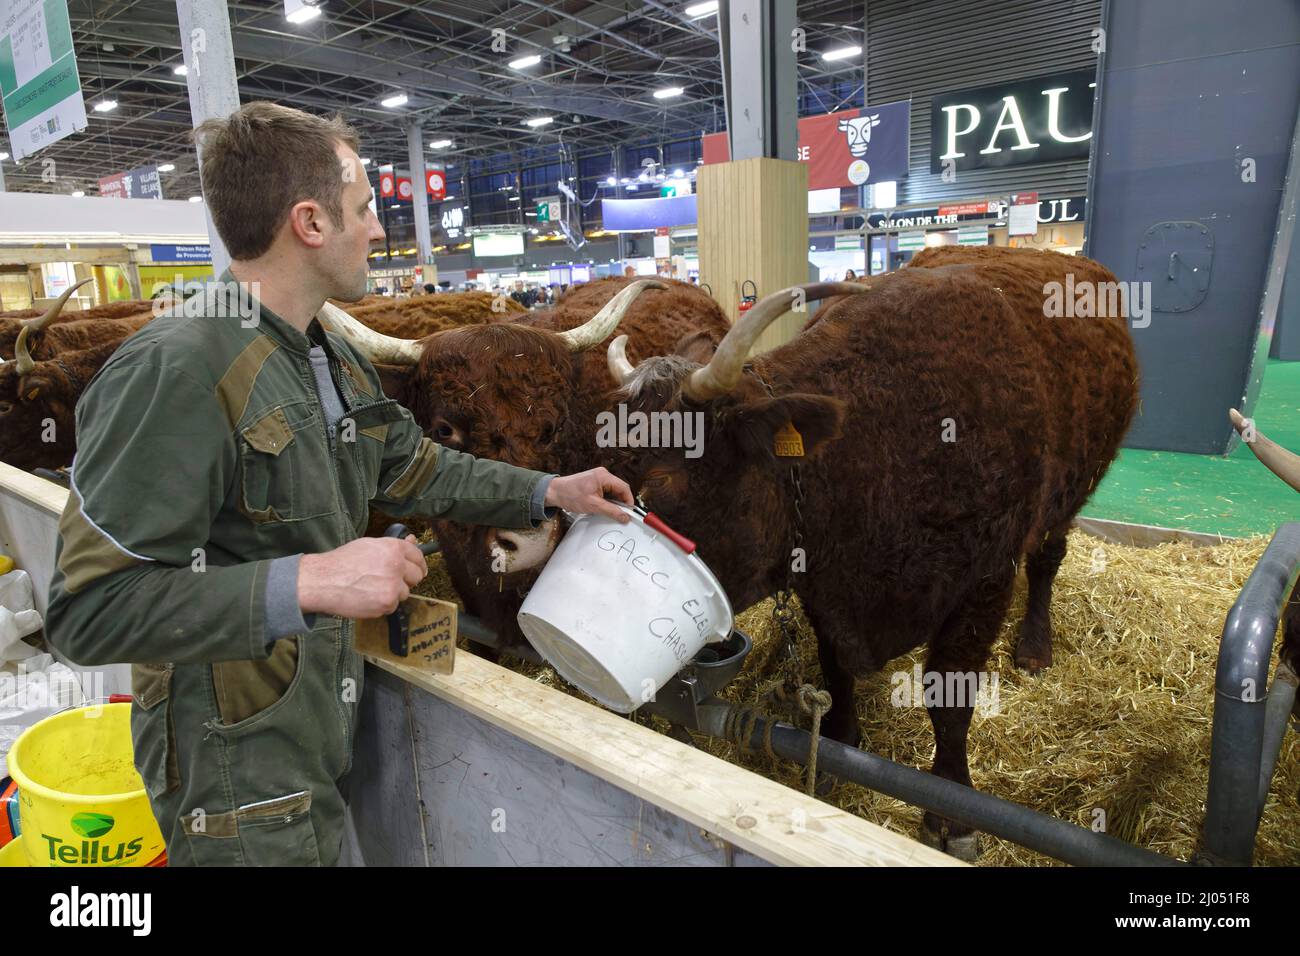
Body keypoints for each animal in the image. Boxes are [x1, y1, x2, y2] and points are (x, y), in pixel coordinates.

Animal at [598, 244, 1138, 853]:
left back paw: (1035, 647)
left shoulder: (984, 582)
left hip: (1072, 493)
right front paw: (838, 743)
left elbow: (949, 700)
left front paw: (951, 811)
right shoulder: (822, 580)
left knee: (1047, 558)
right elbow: (836, 670)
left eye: (661, 488)